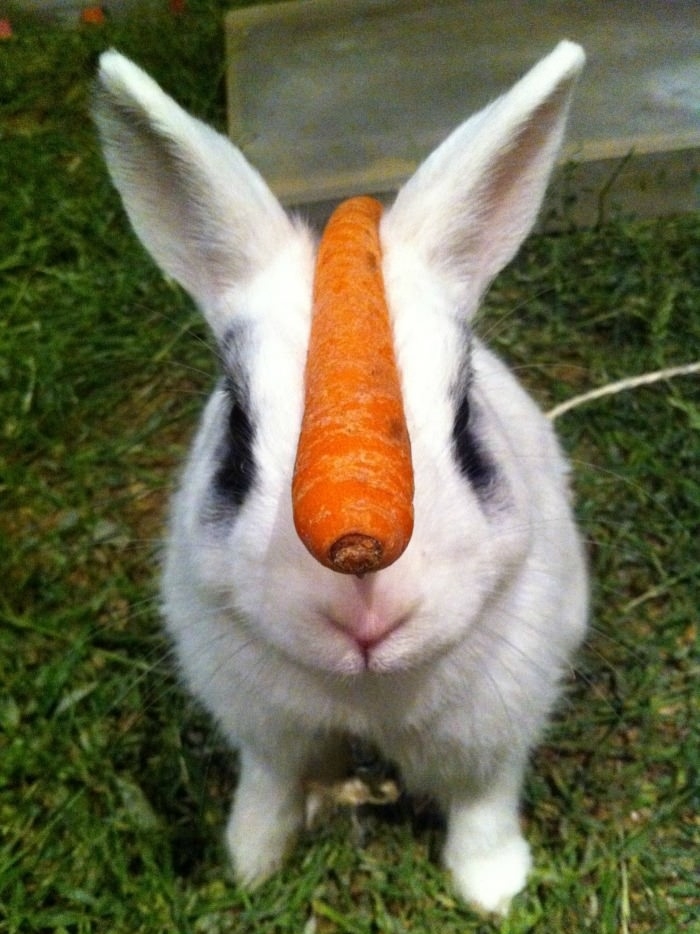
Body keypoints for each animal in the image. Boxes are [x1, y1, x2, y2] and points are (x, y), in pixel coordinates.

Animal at [94, 40, 588, 916]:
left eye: (466, 426)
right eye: (236, 437)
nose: (366, 612)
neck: (365, 704)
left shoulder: (497, 727)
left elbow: (484, 804)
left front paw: (493, 891)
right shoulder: (266, 736)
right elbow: (268, 788)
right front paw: (249, 863)